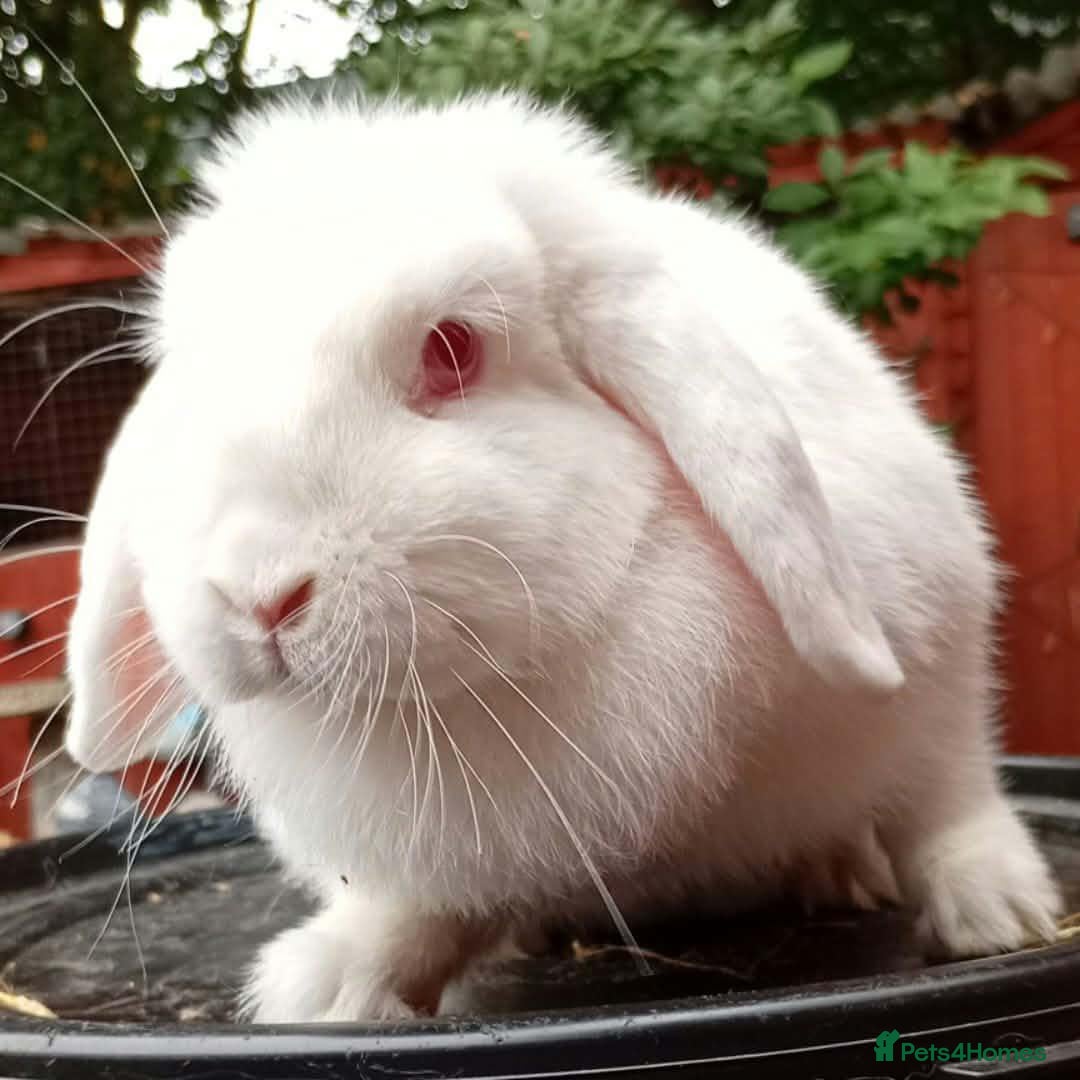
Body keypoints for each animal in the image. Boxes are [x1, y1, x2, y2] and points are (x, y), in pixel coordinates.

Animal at [63, 93, 1061, 1023]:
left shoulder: (934, 653)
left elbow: (946, 792)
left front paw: (997, 911)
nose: (256, 594)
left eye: (453, 348)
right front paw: (333, 985)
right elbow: (426, 911)